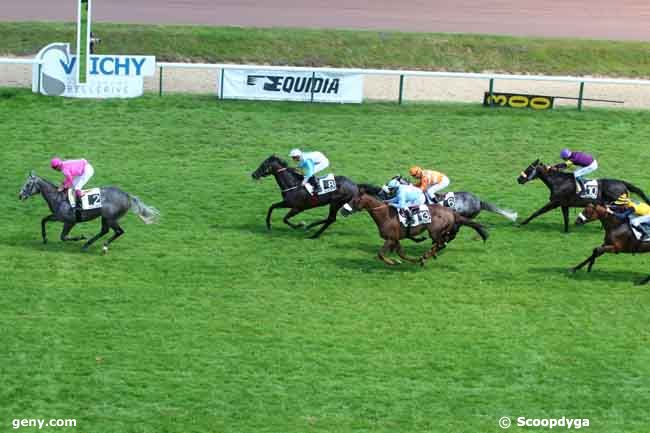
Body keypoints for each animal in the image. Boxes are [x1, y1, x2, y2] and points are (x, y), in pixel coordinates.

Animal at [18, 171, 160, 251]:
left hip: (111, 218)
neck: (58, 197)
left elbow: (63, 237)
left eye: (28, 184)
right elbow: (43, 220)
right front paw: (44, 238)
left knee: (119, 231)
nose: (20, 195)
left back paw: (103, 246)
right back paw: (87, 244)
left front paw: (80, 237)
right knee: (105, 231)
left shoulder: (70, 221)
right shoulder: (58, 217)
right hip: (105, 217)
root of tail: (127, 195)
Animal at [346, 184, 484, 264]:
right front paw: (403, 260)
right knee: (442, 242)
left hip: (434, 231)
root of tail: (451, 212)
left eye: (355, 200)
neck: (385, 215)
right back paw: (427, 255)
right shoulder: (395, 238)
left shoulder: (390, 238)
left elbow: (381, 254)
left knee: (440, 243)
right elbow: (401, 254)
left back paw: (427, 256)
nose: (343, 210)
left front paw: (391, 262)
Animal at [512, 159, 644, 231]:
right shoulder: (564, 204)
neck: (559, 181)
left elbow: (537, 212)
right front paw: (566, 231)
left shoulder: (554, 202)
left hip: (618, 203)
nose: (519, 179)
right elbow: (566, 218)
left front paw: (522, 223)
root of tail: (623, 183)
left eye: (529, 169)